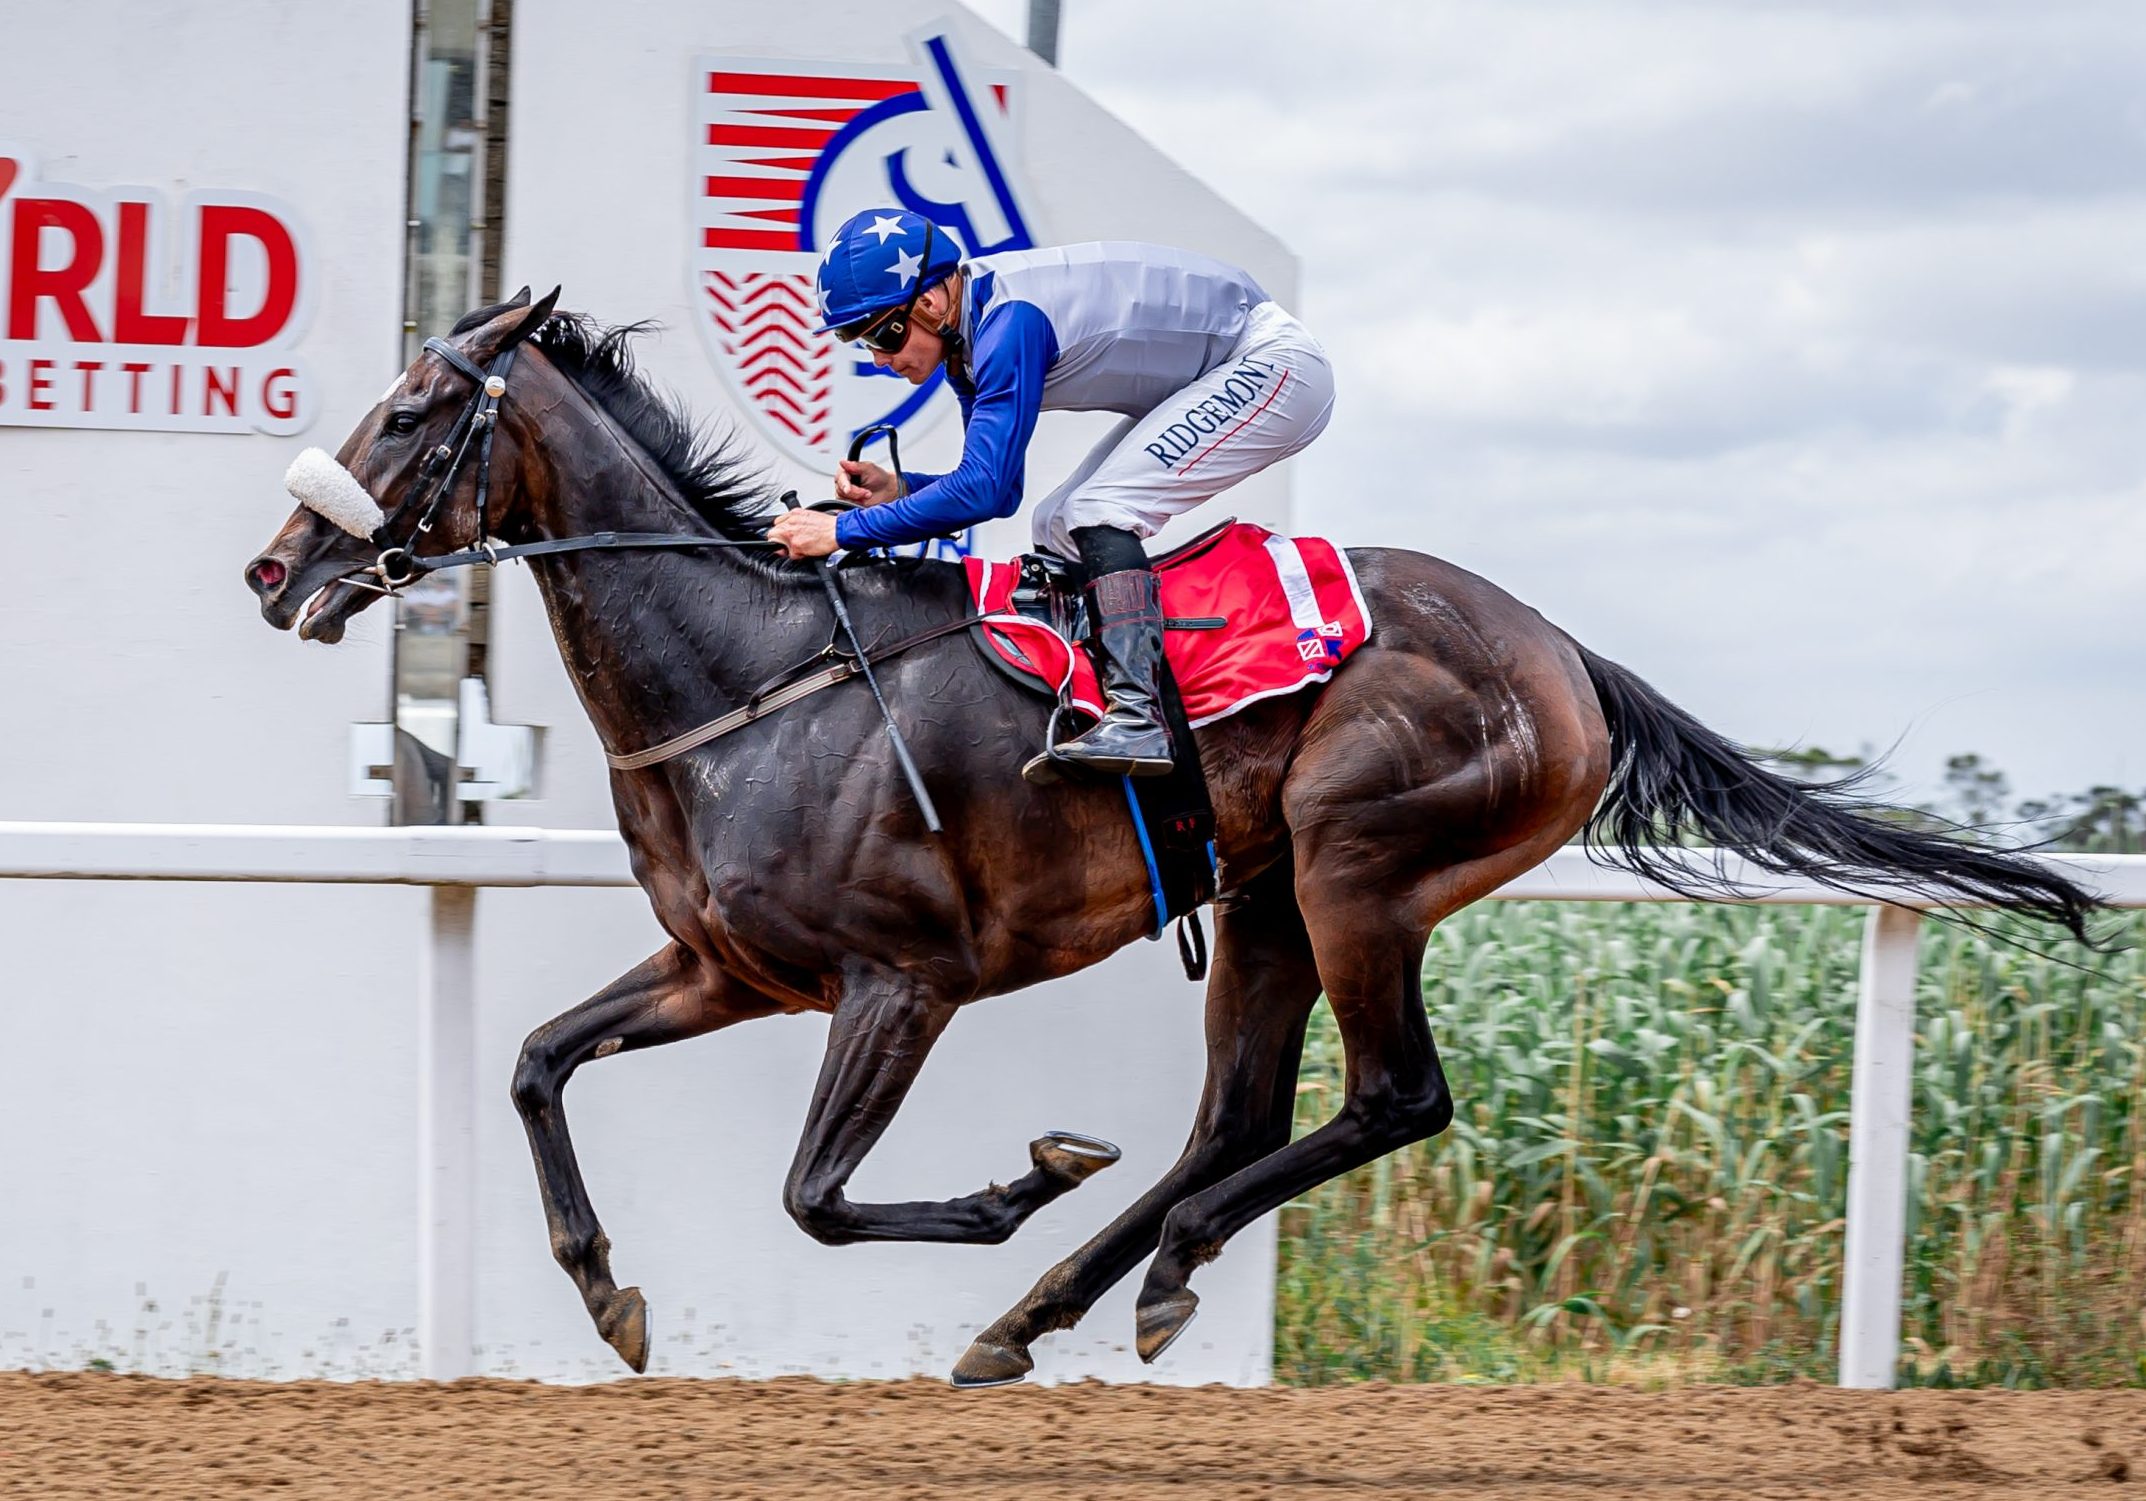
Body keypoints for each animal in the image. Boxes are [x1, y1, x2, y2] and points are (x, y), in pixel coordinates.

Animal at [239, 287, 2094, 1391]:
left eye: (411, 410)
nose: (273, 569)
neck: (759, 681)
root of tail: (1564, 655)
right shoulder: (726, 968)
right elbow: (539, 1063)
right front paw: (606, 1293)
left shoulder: (899, 983)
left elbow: (815, 1198)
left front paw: (1017, 1182)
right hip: (1264, 894)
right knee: (1238, 1117)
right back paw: (1057, 1308)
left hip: (1361, 867)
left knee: (1388, 1100)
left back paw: (1122, 1267)